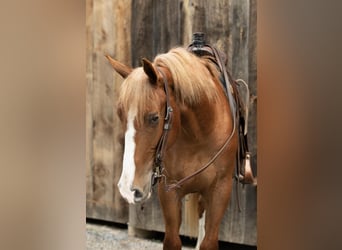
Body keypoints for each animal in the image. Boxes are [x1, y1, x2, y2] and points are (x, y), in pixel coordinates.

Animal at [107, 47, 238, 250]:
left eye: (154, 117)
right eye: (120, 115)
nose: (128, 188)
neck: (198, 136)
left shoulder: (220, 190)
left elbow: (209, 241)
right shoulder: (169, 191)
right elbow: (172, 240)